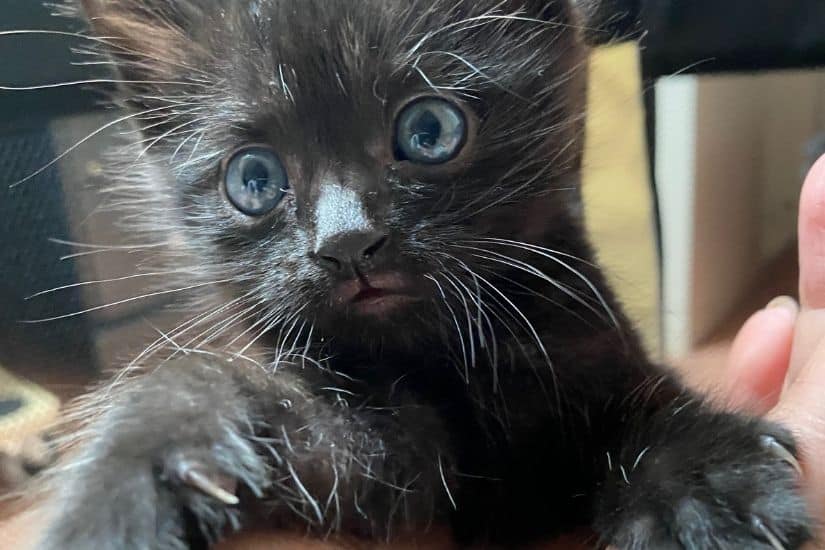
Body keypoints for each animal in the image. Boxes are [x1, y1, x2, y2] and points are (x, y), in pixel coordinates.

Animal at [35, 1, 808, 550]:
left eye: (429, 130)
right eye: (253, 180)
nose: (346, 243)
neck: (452, 362)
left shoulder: (604, 355)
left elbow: (647, 410)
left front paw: (707, 483)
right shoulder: (381, 456)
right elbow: (234, 392)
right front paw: (126, 480)